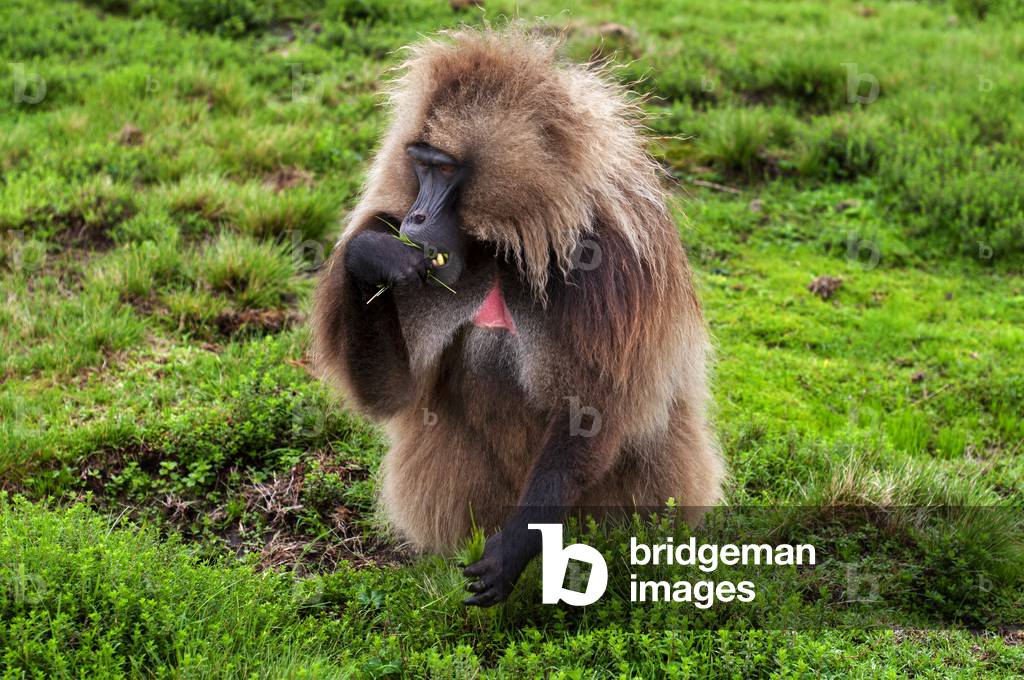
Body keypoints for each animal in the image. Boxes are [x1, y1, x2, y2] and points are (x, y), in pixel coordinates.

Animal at [312, 28, 724, 606]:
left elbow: (591, 410)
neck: (510, 248)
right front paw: (370, 257)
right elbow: (393, 394)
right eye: (418, 164)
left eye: (444, 168)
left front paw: (515, 548)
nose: (414, 218)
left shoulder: (610, 270)